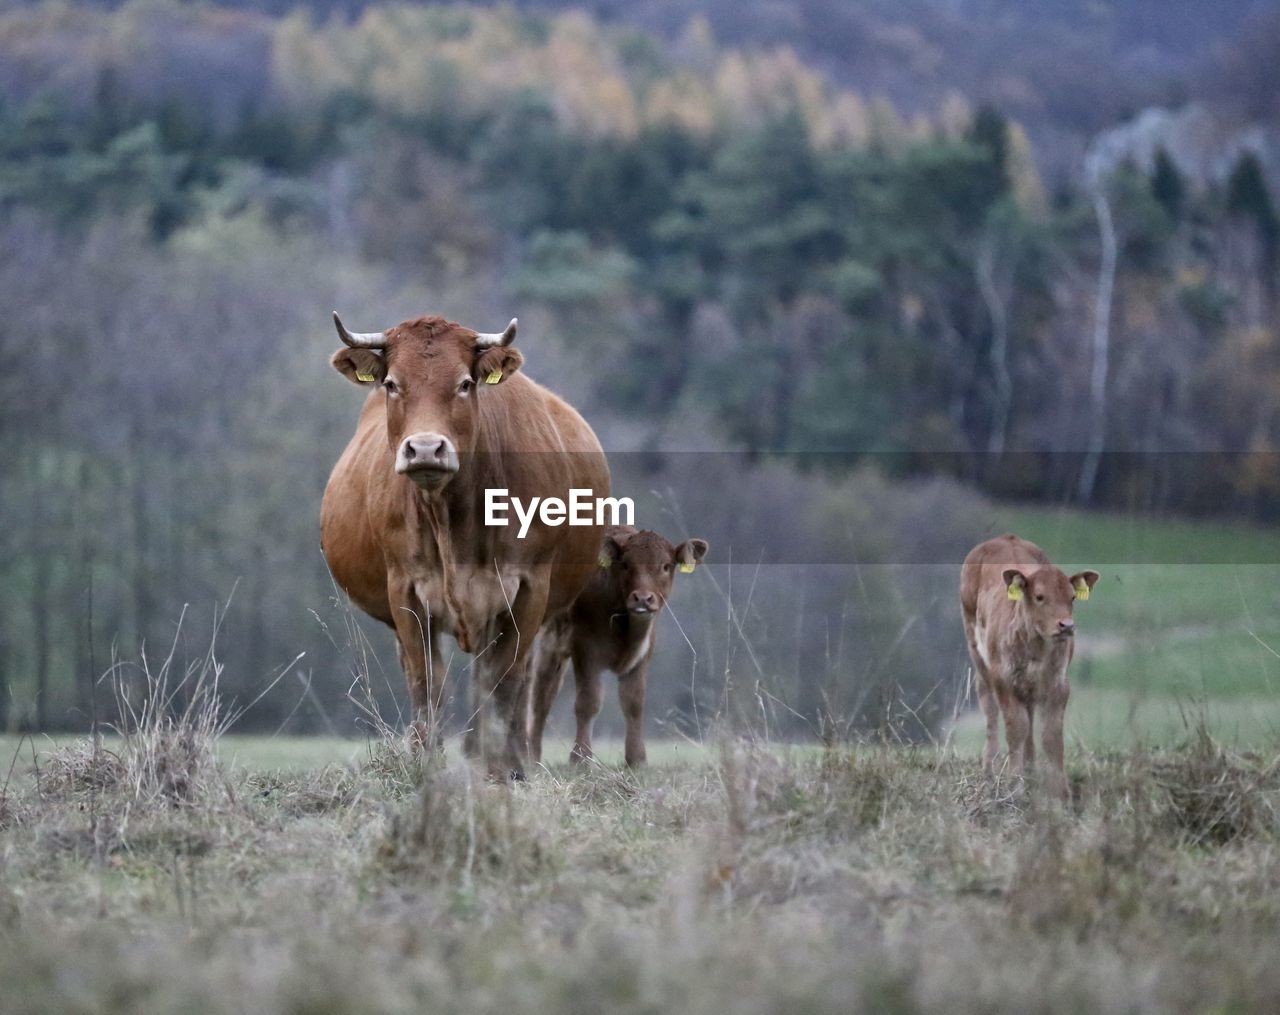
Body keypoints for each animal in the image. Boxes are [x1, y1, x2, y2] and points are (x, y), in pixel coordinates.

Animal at [318, 311, 609, 778]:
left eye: (465, 383)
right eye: (392, 383)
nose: (425, 448)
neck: (454, 520)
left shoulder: (529, 589)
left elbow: (505, 683)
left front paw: (500, 768)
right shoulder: (405, 588)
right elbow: (426, 681)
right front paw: (427, 761)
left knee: (519, 680)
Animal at [529, 527, 711, 762]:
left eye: (666, 565)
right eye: (625, 564)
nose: (643, 598)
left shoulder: (643, 654)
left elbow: (633, 703)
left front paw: (636, 758)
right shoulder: (585, 650)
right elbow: (588, 702)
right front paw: (581, 757)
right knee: (541, 696)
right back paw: (531, 754)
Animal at [962, 535, 1100, 793]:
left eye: (1072, 597)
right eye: (1039, 596)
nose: (1066, 626)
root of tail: (1005, 537)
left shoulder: (1059, 683)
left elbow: (1051, 734)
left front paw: (1061, 790)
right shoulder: (1003, 679)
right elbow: (1016, 727)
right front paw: (1014, 783)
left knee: (1029, 714)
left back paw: (1030, 768)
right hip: (976, 651)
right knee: (989, 707)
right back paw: (989, 770)